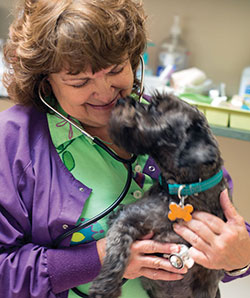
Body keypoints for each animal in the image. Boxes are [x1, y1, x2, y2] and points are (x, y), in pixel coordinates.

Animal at [88, 93, 230, 298]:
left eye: (155, 108)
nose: (122, 100)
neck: (183, 190)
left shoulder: (210, 270)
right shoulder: (128, 219)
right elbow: (117, 250)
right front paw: (105, 286)